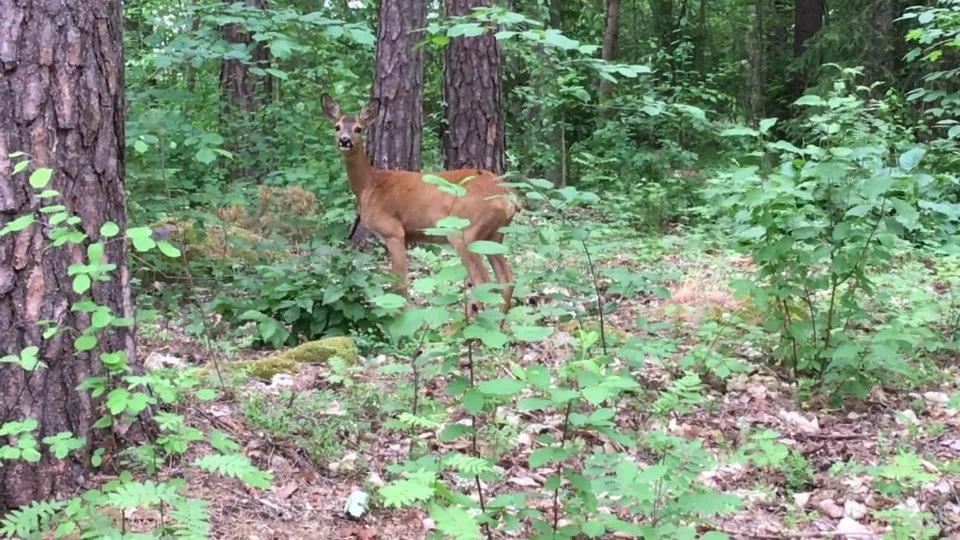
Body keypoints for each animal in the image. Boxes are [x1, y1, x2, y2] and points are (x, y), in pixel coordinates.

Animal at [322, 95, 516, 318]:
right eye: (337, 126)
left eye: (358, 128)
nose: (344, 140)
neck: (369, 185)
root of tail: (508, 198)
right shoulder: (406, 236)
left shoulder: (393, 231)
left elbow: (400, 286)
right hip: (494, 235)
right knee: (507, 279)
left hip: (464, 230)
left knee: (483, 282)